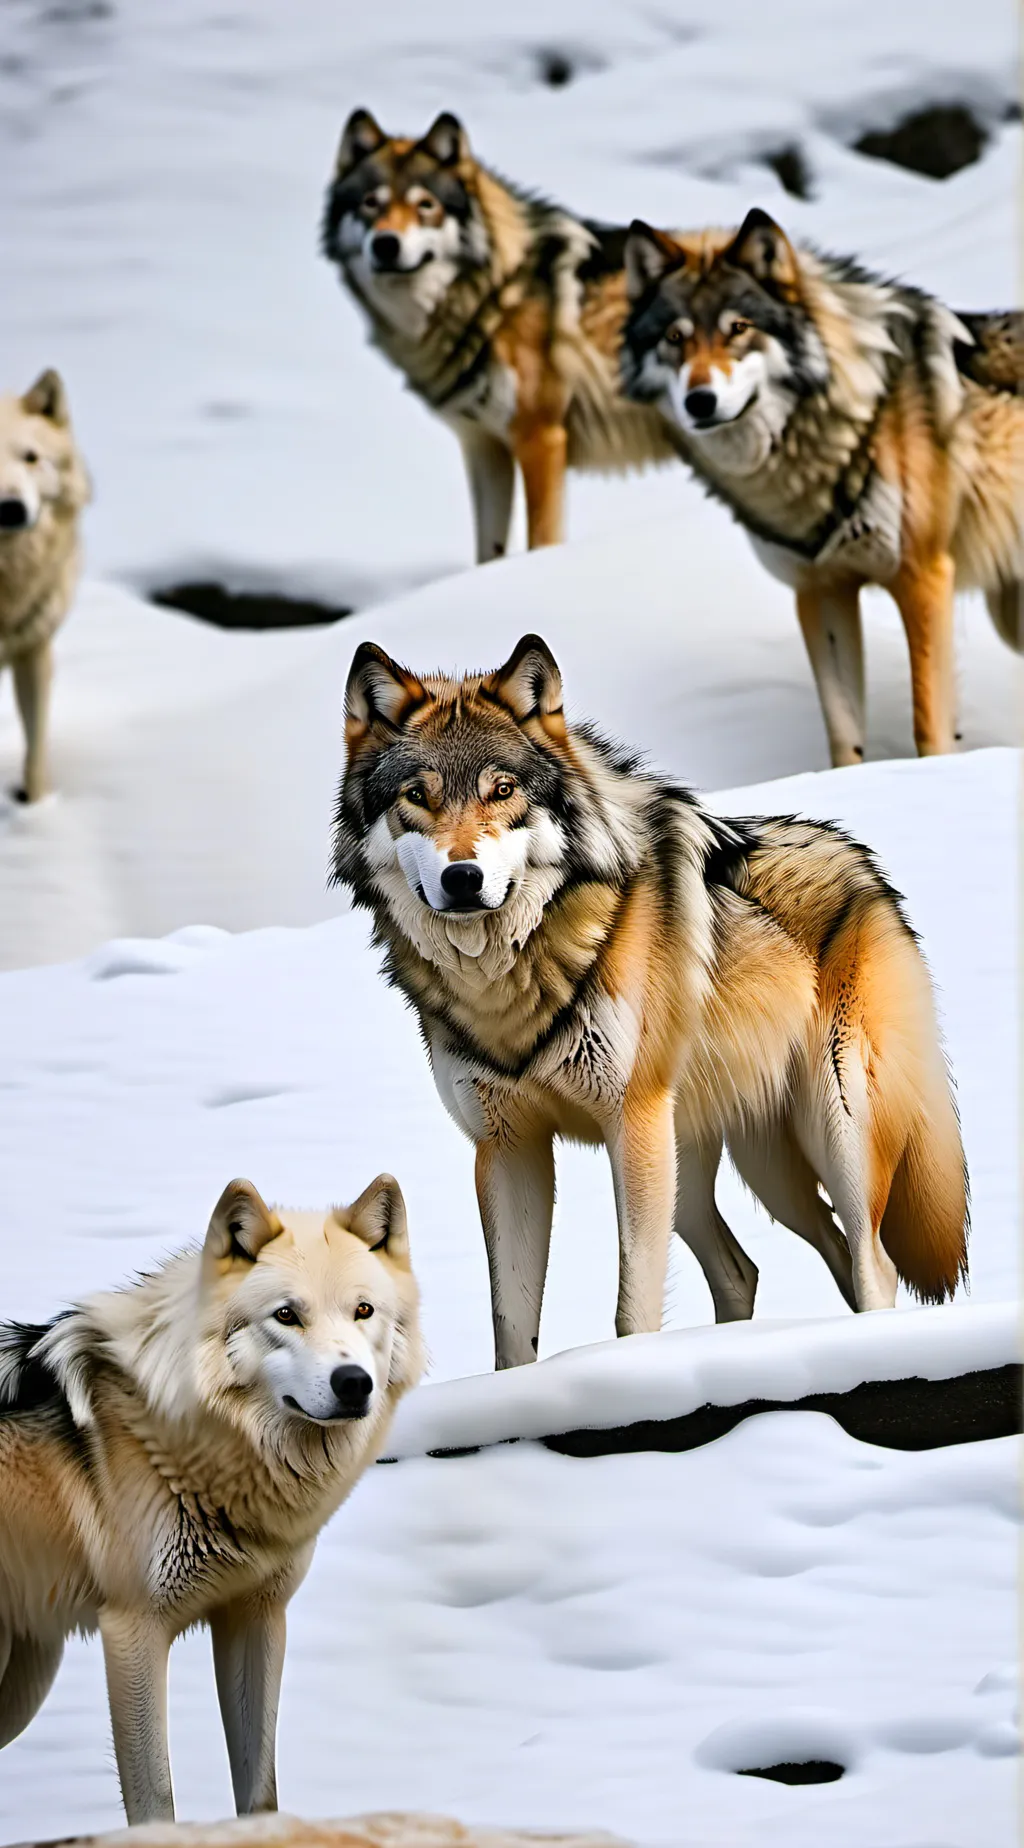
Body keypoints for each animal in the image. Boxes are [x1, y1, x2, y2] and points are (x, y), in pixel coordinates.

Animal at [0, 1174, 422, 1824]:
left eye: (363, 1310)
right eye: (286, 1315)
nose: (354, 1383)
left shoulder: (257, 1618)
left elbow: (260, 1790)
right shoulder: (133, 1632)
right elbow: (156, 1802)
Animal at [320, 109, 680, 561]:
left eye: (426, 205)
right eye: (371, 203)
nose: (386, 244)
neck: (494, 293)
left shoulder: (541, 439)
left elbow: (542, 541)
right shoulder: (483, 447)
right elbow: (487, 553)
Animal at [333, 634, 968, 1371]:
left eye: (503, 790)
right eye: (417, 796)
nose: (463, 879)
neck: (512, 975)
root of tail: (864, 864)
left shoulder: (629, 1123)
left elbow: (631, 1309)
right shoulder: (507, 1149)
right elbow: (511, 1329)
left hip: (825, 1135)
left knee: (873, 1265)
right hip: (733, 1172)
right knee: (753, 1267)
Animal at [620, 209, 1024, 765]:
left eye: (738, 329)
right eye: (675, 338)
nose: (700, 401)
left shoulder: (922, 576)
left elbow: (928, 724)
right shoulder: (819, 590)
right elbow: (843, 733)